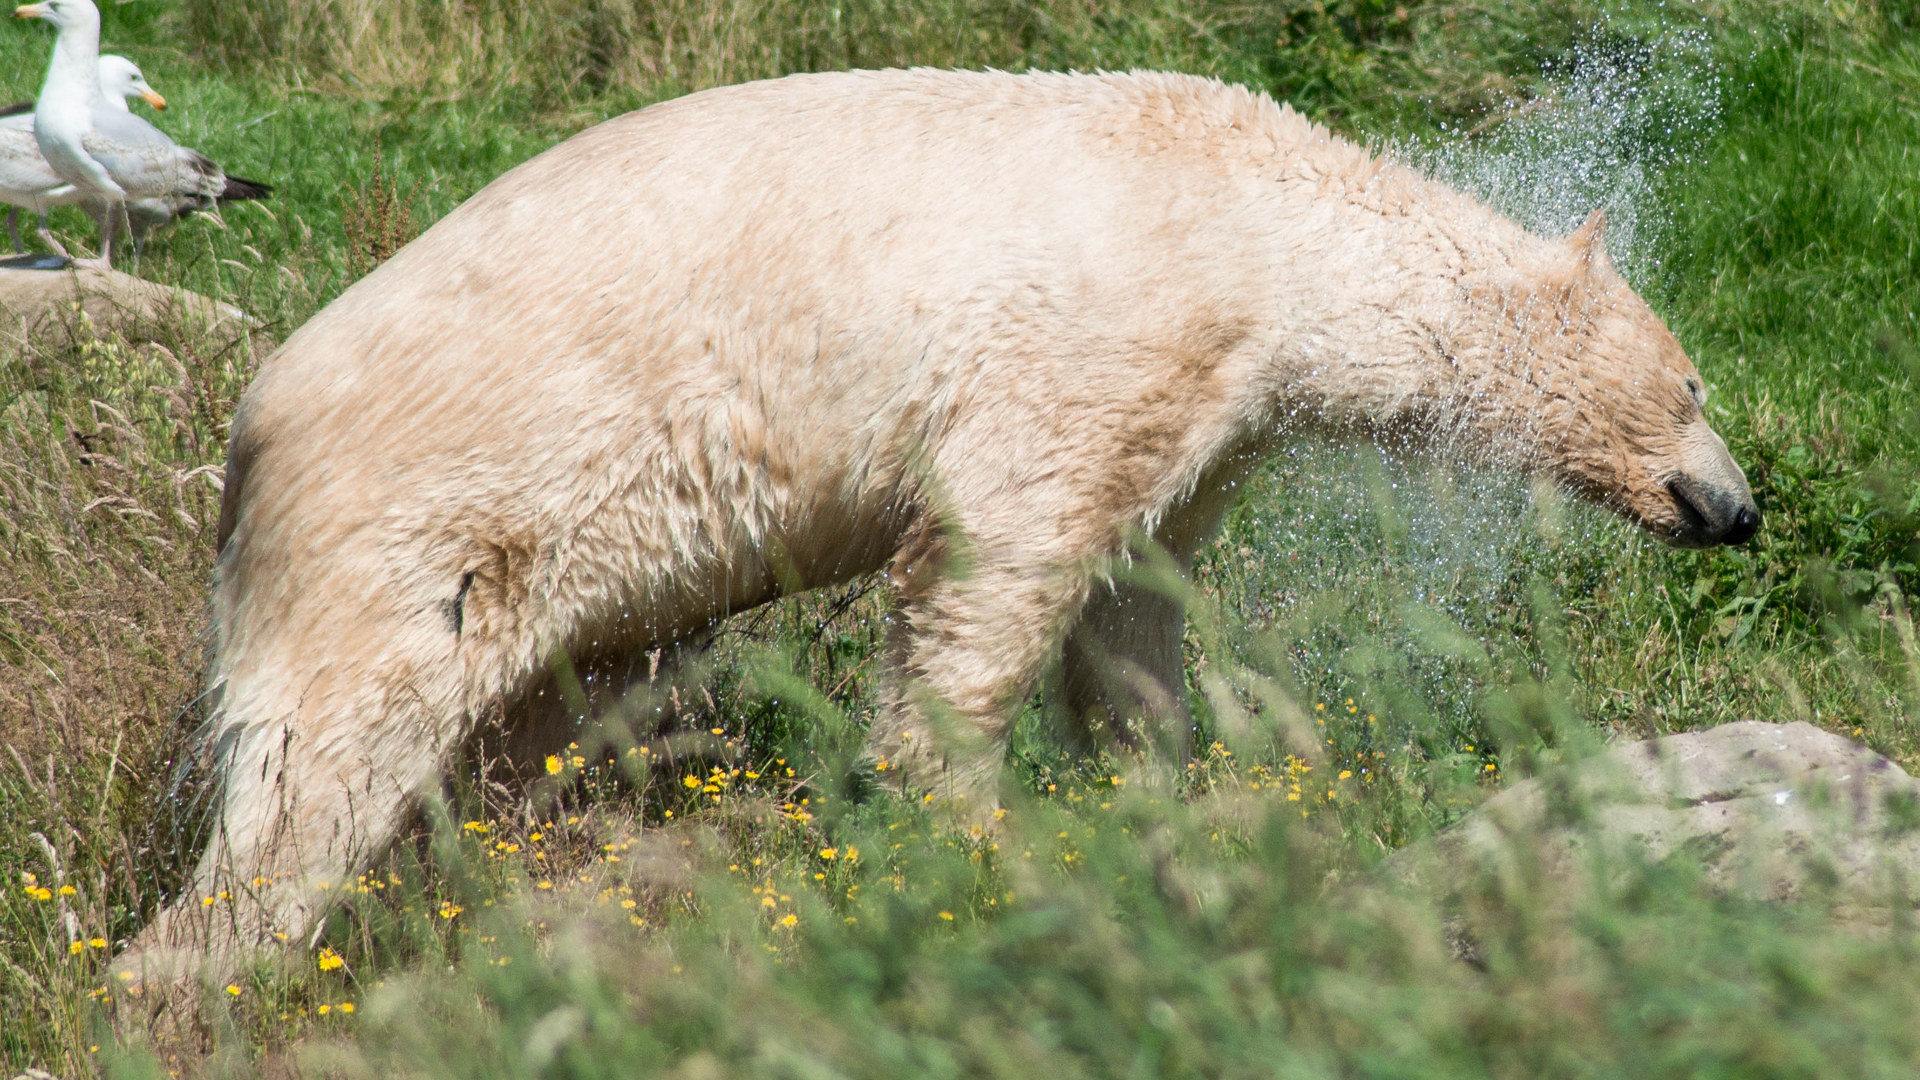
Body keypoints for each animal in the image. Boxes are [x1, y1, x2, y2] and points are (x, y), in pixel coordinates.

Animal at [120, 67, 1758, 976]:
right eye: (1691, 383)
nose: (1736, 507)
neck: (1262, 222)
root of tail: (253, 436)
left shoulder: (1205, 410)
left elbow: (1137, 594)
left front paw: (1164, 782)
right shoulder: (1104, 326)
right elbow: (1000, 553)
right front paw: (970, 829)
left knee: (541, 716)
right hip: (427, 517)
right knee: (325, 764)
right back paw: (193, 976)